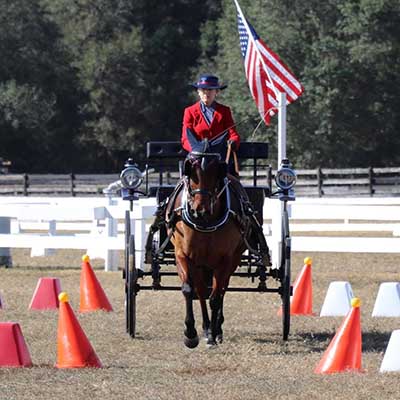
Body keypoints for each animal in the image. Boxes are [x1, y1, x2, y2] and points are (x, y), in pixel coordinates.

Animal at [165, 134, 247, 346]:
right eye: (190, 168)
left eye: (217, 170)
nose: (199, 209)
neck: (206, 221)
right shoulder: (183, 254)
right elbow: (189, 289)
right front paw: (190, 333)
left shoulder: (225, 260)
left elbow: (216, 297)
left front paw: (213, 334)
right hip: (200, 263)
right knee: (201, 291)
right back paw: (205, 327)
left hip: (231, 259)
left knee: (222, 289)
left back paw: (216, 330)